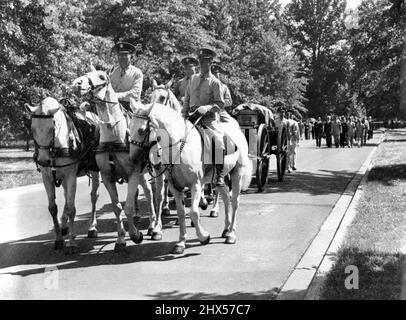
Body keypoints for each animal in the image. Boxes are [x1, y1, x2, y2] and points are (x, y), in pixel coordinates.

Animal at [25, 97, 100, 252]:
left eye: (52, 128)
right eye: (33, 129)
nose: (43, 160)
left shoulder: (71, 176)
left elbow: (71, 208)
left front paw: (71, 243)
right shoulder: (47, 178)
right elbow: (53, 208)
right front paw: (59, 239)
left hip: (94, 171)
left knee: (93, 196)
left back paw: (92, 227)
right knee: (66, 197)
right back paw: (65, 225)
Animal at [73, 69, 162, 250]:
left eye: (101, 77)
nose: (77, 83)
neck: (114, 136)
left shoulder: (133, 173)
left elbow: (128, 207)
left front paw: (135, 235)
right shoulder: (107, 177)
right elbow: (117, 207)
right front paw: (120, 239)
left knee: (154, 194)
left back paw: (154, 227)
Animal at [128, 101, 252, 254]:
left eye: (141, 130)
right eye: (129, 128)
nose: (132, 160)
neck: (179, 147)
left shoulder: (195, 184)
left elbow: (193, 212)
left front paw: (204, 237)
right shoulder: (175, 186)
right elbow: (181, 213)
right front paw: (181, 243)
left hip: (237, 173)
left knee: (234, 202)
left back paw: (231, 234)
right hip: (220, 179)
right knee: (226, 198)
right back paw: (226, 230)